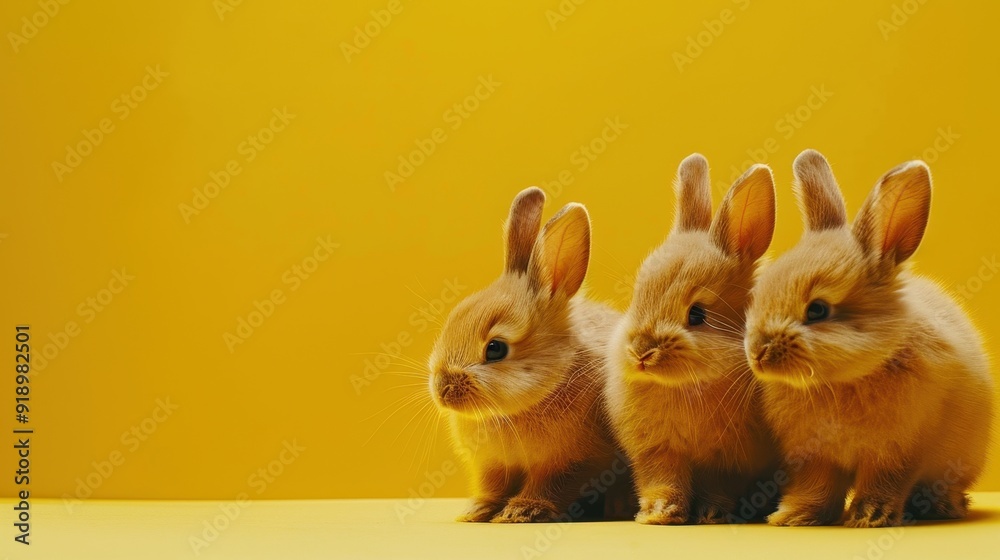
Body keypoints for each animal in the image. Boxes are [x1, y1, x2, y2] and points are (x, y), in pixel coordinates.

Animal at [427, 187, 630, 523]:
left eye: (495, 348)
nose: (442, 389)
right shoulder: (493, 467)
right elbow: (492, 487)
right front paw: (476, 511)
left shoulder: (572, 463)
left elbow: (549, 486)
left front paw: (522, 511)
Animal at [605, 153, 781, 525]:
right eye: (638, 297)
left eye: (697, 315)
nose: (641, 352)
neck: (687, 384)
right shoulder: (657, 452)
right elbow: (663, 481)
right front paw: (658, 515)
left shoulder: (729, 460)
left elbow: (718, 486)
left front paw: (711, 514)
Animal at [744, 149, 995, 527]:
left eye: (817, 310)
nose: (758, 353)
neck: (843, 381)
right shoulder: (815, 458)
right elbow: (817, 487)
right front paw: (792, 516)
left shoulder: (899, 452)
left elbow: (885, 482)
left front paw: (869, 517)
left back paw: (940, 507)